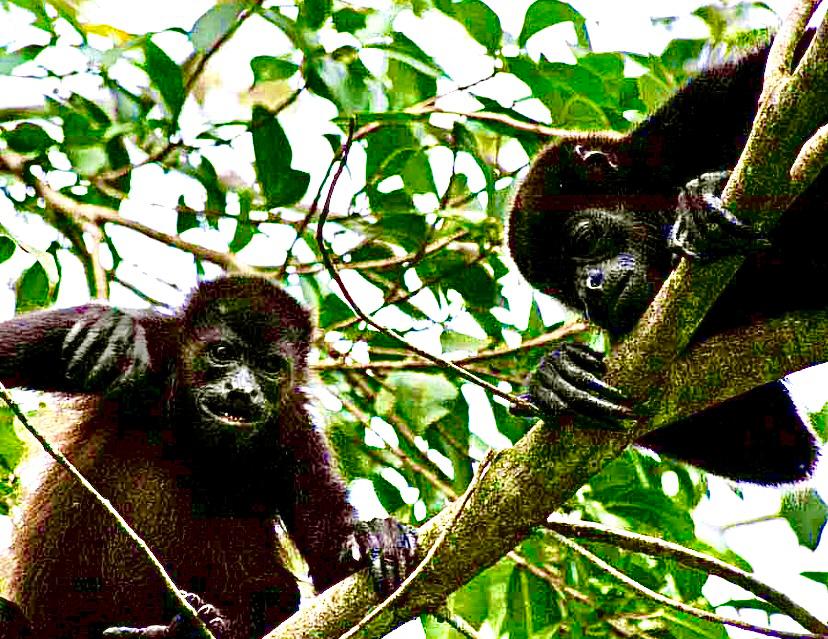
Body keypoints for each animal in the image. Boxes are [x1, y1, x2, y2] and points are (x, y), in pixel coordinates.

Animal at [0, 275, 417, 638]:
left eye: (270, 366)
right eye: (222, 353)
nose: (242, 390)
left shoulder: (293, 429)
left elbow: (332, 568)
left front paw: (373, 535)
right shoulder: (155, 340)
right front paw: (112, 329)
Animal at [508, 34, 827, 484]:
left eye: (584, 239)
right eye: (561, 287)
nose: (590, 290)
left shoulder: (693, 112)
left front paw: (703, 194)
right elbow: (779, 444)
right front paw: (553, 374)